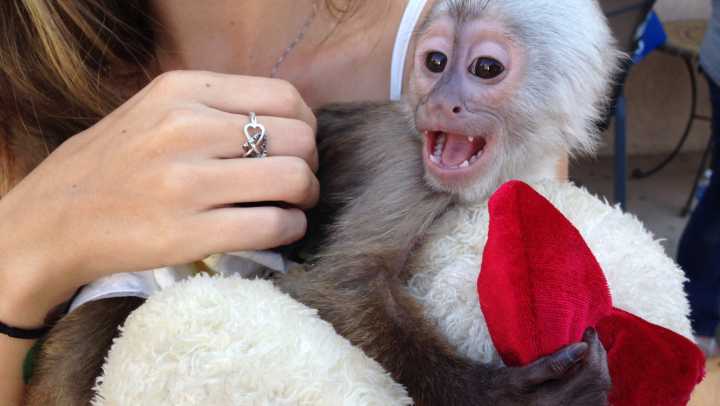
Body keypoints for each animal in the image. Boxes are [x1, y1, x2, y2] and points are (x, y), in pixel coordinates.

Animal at [26, 0, 630, 404]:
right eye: (435, 62)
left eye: (485, 69)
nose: (443, 103)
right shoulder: (408, 166)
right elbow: (338, 285)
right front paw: (490, 395)